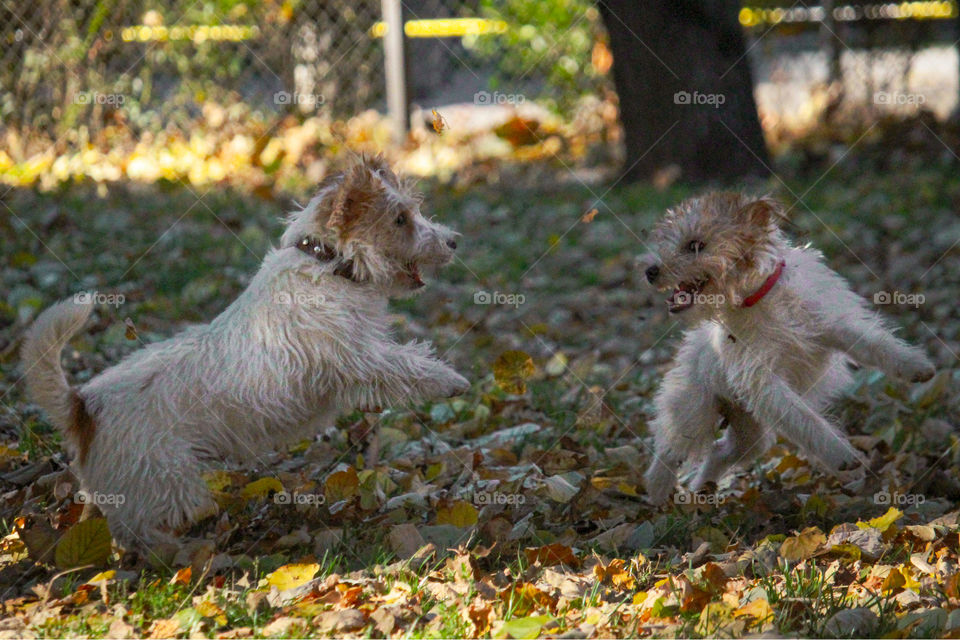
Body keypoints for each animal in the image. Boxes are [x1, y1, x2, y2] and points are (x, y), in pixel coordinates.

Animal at [20, 156, 470, 552]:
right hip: (166, 485)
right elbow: (406, 364)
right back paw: (177, 553)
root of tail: (82, 405)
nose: (454, 240)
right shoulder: (357, 356)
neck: (324, 263)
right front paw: (451, 381)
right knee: (142, 533)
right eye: (400, 219)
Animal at [640, 192, 932, 502]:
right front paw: (839, 453)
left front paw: (914, 365)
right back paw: (658, 491)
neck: (761, 297)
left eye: (695, 245)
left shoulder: (834, 326)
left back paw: (700, 489)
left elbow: (875, 344)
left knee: (720, 451)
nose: (650, 271)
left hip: (749, 435)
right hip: (693, 411)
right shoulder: (765, 381)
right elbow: (803, 417)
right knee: (669, 448)